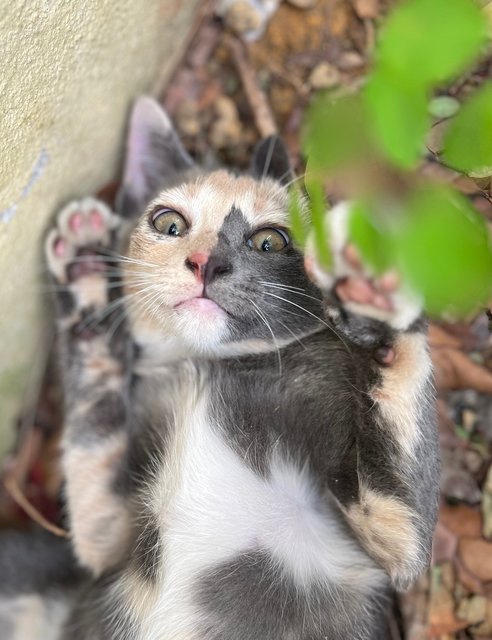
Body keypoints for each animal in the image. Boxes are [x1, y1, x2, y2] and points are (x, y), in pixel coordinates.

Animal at [0, 96, 438, 640]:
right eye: (169, 224)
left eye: (270, 242)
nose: (206, 261)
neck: (205, 370)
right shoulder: (107, 533)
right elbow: (93, 443)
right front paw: (86, 277)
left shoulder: (390, 546)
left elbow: (404, 515)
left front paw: (376, 304)